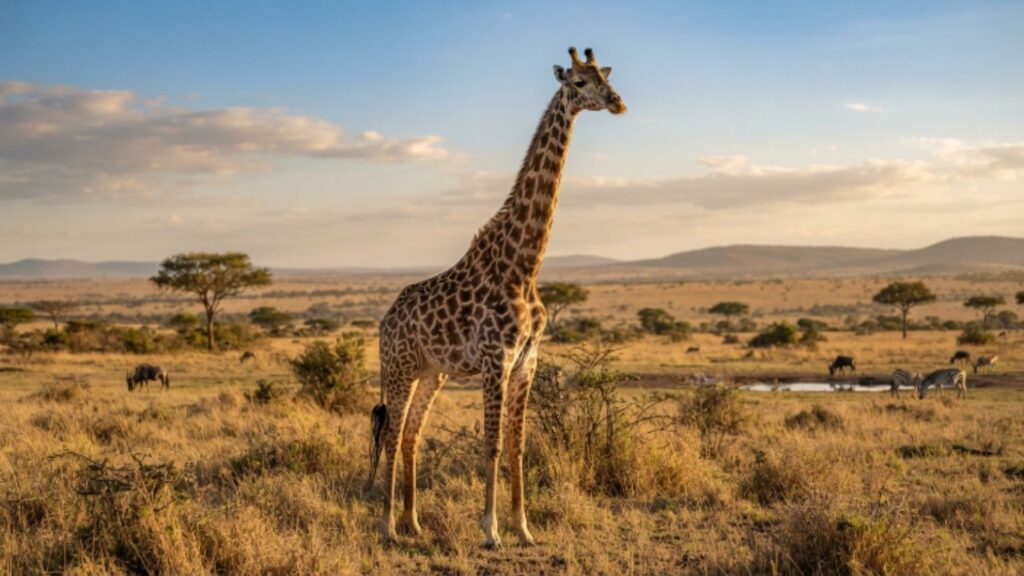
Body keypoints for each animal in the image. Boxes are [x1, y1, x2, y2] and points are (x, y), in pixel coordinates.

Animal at [368, 47, 626, 548]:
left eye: (605, 77)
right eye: (578, 83)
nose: (618, 102)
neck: (523, 266)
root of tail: (385, 321)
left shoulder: (527, 361)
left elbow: (519, 445)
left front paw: (524, 528)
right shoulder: (495, 360)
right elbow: (492, 443)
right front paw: (490, 530)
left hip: (432, 372)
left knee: (410, 435)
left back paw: (414, 522)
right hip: (399, 368)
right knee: (390, 433)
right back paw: (388, 527)